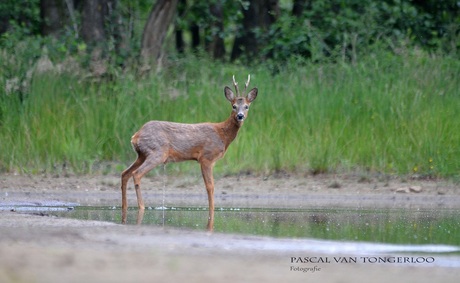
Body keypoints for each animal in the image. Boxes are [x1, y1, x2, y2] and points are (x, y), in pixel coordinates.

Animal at [121, 75, 258, 231]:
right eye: (233, 106)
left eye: (246, 106)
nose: (240, 116)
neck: (222, 135)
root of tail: (136, 136)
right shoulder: (206, 158)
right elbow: (210, 186)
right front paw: (212, 212)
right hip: (157, 152)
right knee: (136, 174)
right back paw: (142, 207)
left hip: (141, 154)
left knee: (125, 173)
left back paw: (125, 207)